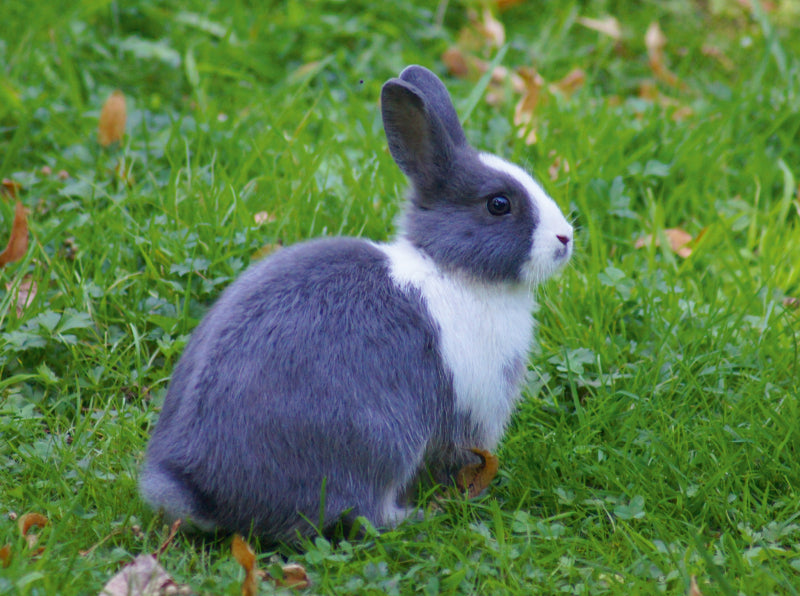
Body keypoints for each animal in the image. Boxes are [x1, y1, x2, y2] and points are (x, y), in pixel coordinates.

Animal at [139, 62, 576, 544]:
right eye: (498, 204)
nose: (565, 238)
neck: (451, 268)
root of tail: (204, 490)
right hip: (379, 442)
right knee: (365, 513)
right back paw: (418, 517)